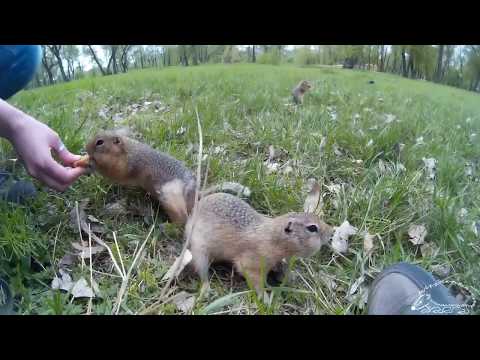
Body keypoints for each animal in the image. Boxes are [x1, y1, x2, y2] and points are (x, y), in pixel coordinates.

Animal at [82, 129, 248, 225]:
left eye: (100, 142)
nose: (85, 147)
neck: (127, 150)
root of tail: (196, 195)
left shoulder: (129, 165)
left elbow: (116, 173)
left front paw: (91, 163)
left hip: (172, 200)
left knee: (182, 219)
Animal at [185, 193, 334, 292]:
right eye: (312, 228)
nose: (331, 231)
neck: (273, 238)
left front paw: (290, 276)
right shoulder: (253, 263)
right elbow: (254, 280)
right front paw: (265, 299)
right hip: (199, 251)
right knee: (202, 270)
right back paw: (206, 288)